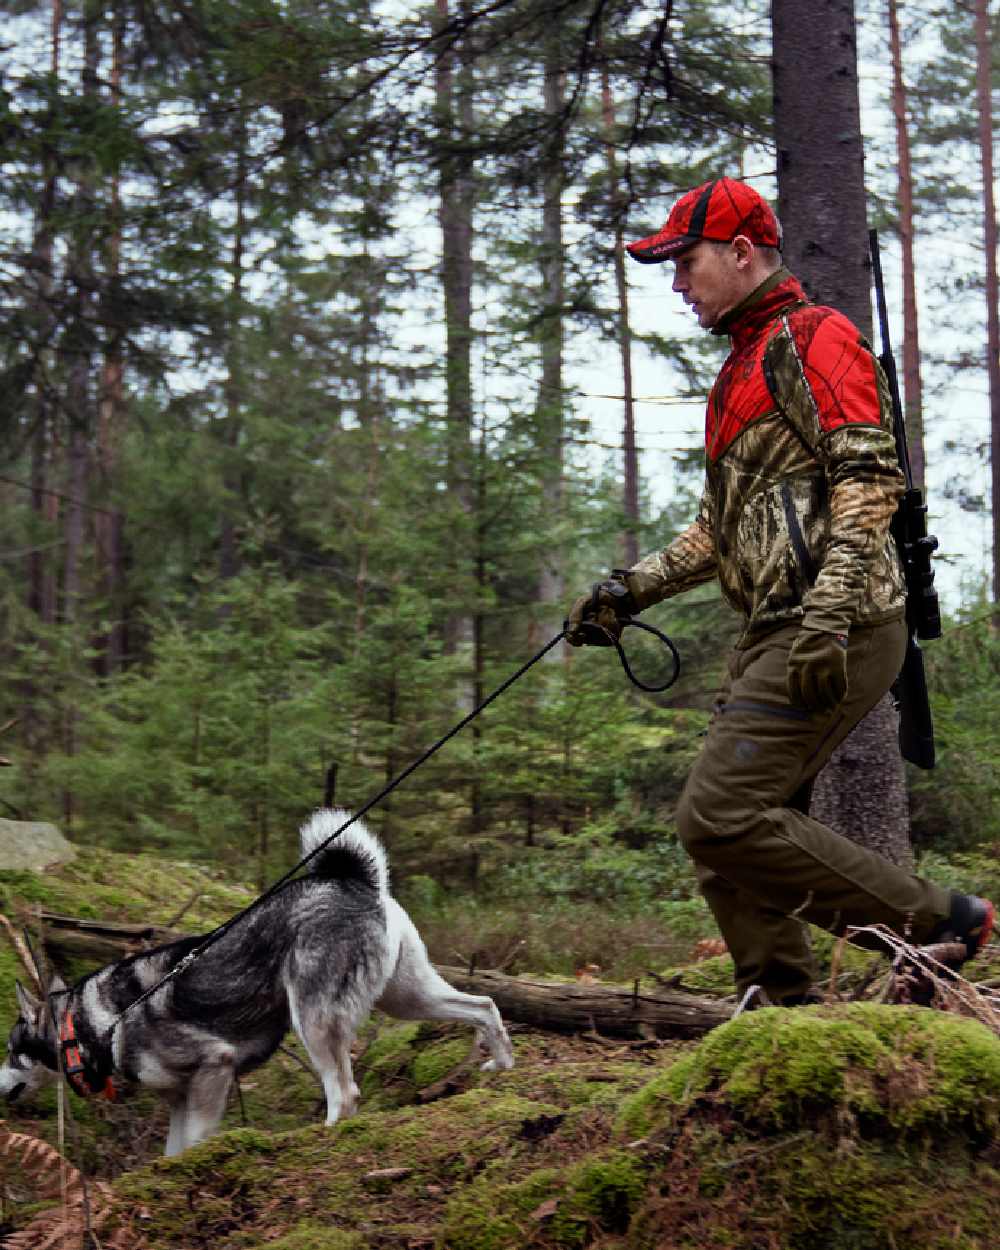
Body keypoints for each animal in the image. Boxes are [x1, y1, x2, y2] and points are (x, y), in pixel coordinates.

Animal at [0, 815, 515, 1155]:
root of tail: (351, 880)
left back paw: (324, 1136)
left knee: (345, 1094)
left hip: (313, 1019)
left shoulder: (215, 1068)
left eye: (8, 1051)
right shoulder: (181, 1099)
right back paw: (503, 1063)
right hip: (408, 997)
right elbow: (172, 1151)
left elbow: (193, 1145)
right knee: (484, 1004)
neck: (95, 1025)